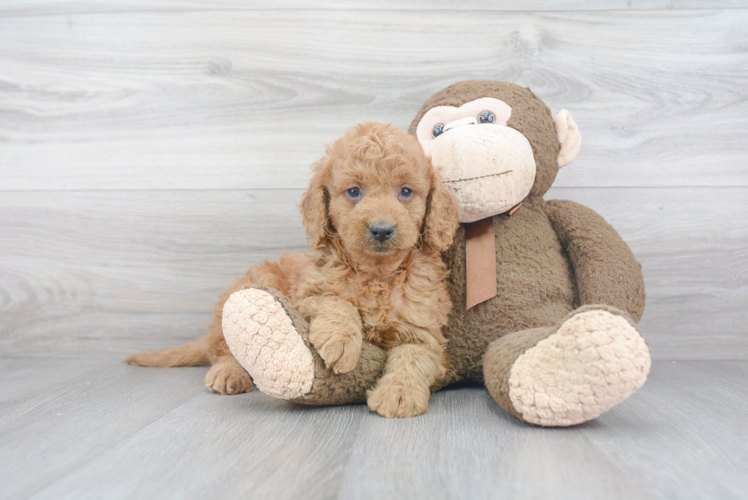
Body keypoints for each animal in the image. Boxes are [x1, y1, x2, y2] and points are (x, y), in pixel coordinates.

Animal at [125, 122, 458, 418]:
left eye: (406, 191)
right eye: (354, 192)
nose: (381, 230)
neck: (376, 274)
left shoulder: (424, 330)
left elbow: (415, 357)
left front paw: (398, 394)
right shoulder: (306, 294)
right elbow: (335, 301)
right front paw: (340, 339)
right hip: (249, 288)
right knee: (223, 348)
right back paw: (228, 372)